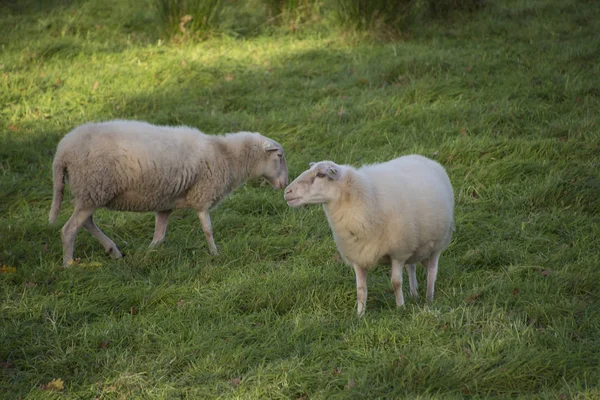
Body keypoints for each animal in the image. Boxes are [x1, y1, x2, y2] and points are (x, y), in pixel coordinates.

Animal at [49, 120, 288, 268]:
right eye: (279, 156)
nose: (285, 184)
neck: (226, 155)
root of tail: (62, 152)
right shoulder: (202, 196)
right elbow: (208, 230)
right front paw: (215, 254)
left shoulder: (165, 204)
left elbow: (159, 235)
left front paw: (148, 254)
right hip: (92, 188)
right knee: (69, 229)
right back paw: (68, 264)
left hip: (90, 193)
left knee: (87, 222)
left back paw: (112, 250)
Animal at [286, 155, 454, 316]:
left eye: (321, 174)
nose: (287, 192)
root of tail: (426, 159)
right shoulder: (358, 255)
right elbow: (361, 289)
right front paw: (360, 315)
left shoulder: (397, 253)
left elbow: (396, 283)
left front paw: (401, 308)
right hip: (412, 242)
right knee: (411, 267)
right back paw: (414, 295)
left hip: (436, 244)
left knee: (432, 271)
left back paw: (429, 298)